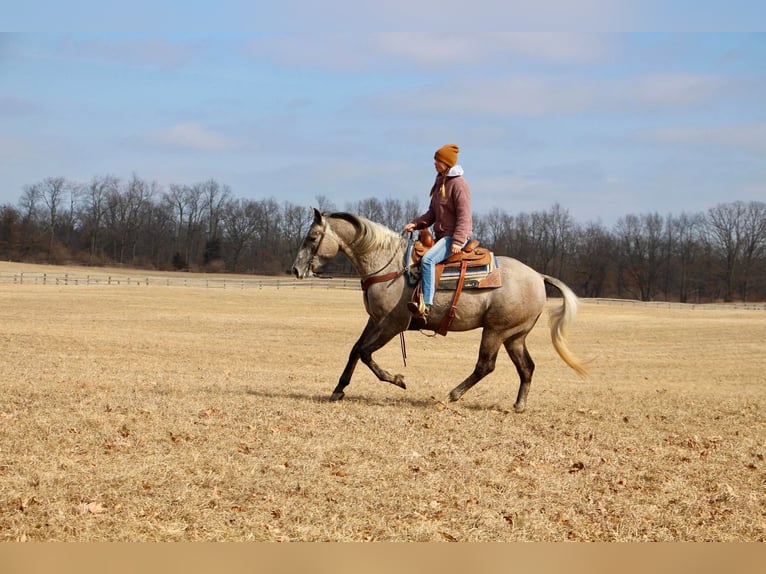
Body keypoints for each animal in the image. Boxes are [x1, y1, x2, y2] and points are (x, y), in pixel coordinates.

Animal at [292, 209, 588, 412]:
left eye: (312, 237)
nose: (296, 270)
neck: (387, 266)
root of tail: (538, 277)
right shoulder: (374, 320)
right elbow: (355, 350)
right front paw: (338, 389)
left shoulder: (393, 324)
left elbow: (366, 353)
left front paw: (397, 379)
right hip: (514, 336)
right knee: (526, 367)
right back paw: (518, 405)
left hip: (495, 331)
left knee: (485, 365)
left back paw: (452, 395)